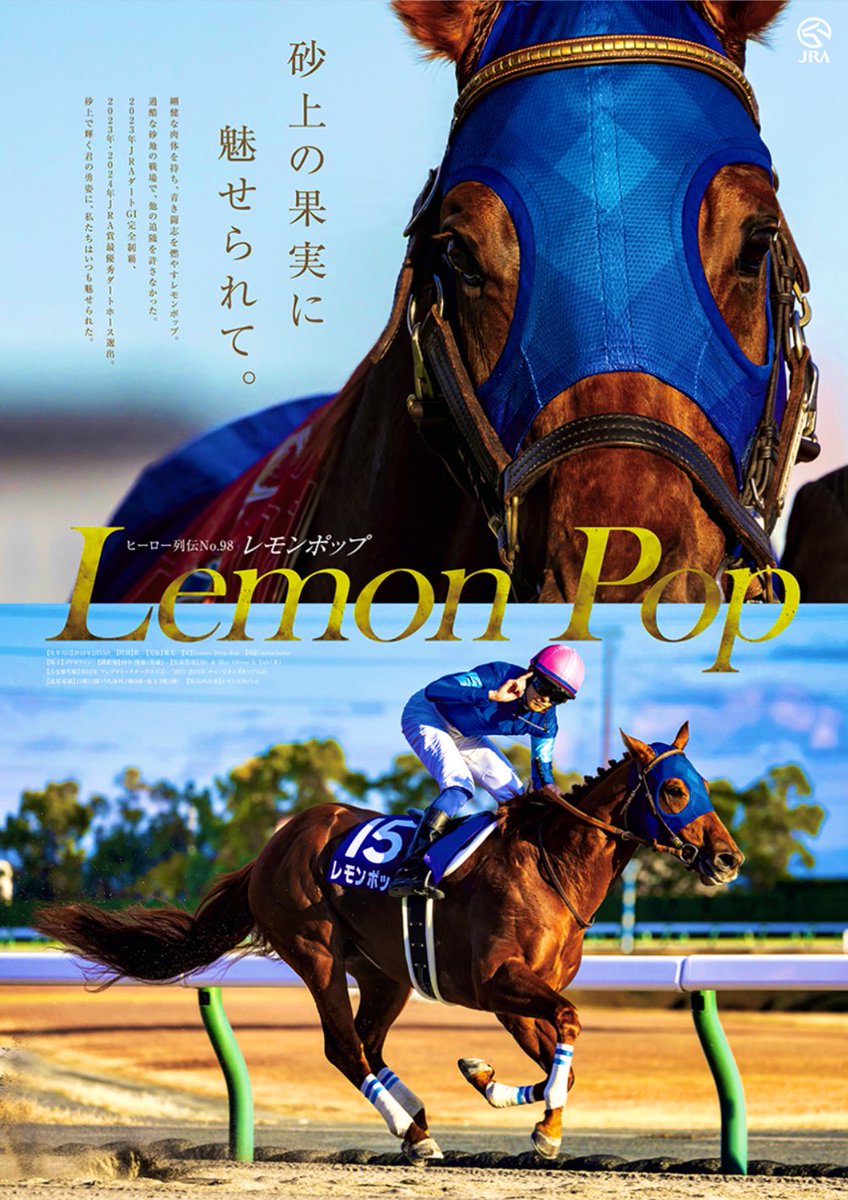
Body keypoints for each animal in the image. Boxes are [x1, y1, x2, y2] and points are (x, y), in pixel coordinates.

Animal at [36, 722, 744, 1163]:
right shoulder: (498, 982)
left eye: (705, 785)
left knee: (370, 1044)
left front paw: (497, 1086)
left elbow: (560, 1064)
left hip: (384, 972)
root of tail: (273, 846)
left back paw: (419, 1127)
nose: (728, 859)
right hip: (316, 952)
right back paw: (409, 1128)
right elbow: (567, 1031)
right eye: (675, 788)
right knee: (345, 1047)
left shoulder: (515, 999)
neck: (551, 868)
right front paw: (540, 1128)